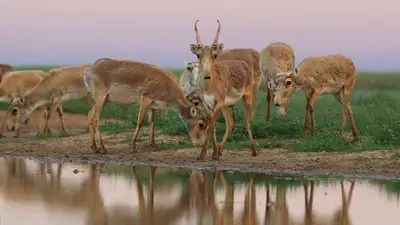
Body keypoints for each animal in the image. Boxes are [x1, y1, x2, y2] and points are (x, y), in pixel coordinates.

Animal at [83, 57, 211, 154]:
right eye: (201, 124)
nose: (200, 143)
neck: (166, 84)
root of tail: (88, 70)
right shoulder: (146, 99)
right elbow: (140, 122)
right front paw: (132, 147)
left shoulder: (152, 106)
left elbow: (152, 123)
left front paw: (155, 145)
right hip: (100, 97)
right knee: (96, 118)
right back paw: (103, 148)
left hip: (104, 100)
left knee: (90, 115)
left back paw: (94, 148)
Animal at [190, 19, 256, 160]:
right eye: (198, 55)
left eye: (214, 55)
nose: (207, 76)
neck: (209, 86)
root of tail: (244, 64)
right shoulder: (208, 105)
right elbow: (213, 126)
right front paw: (213, 153)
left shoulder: (218, 103)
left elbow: (210, 126)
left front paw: (203, 155)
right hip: (226, 105)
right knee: (230, 123)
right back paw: (220, 150)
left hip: (247, 98)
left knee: (247, 121)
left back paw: (254, 151)